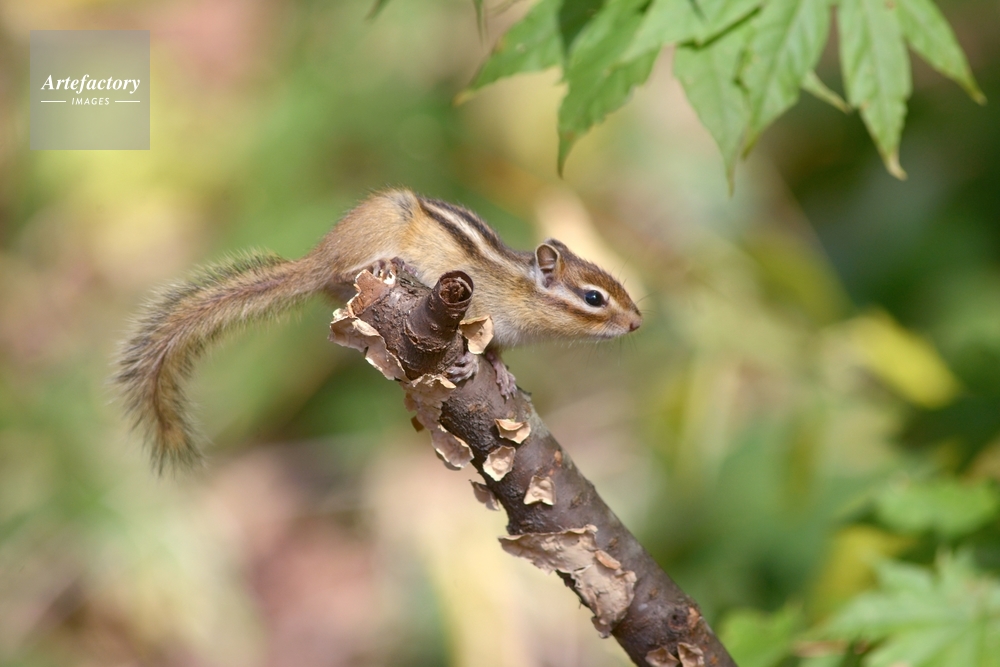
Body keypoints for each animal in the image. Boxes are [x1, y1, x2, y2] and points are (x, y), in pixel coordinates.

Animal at [115, 189, 642, 471]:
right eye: (594, 298)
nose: (637, 321)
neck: (519, 289)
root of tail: (318, 256)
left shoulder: (501, 332)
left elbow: (495, 350)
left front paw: (503, 373)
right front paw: (469, 363)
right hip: (375, 234)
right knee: (348, 268)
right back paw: (381, 262)